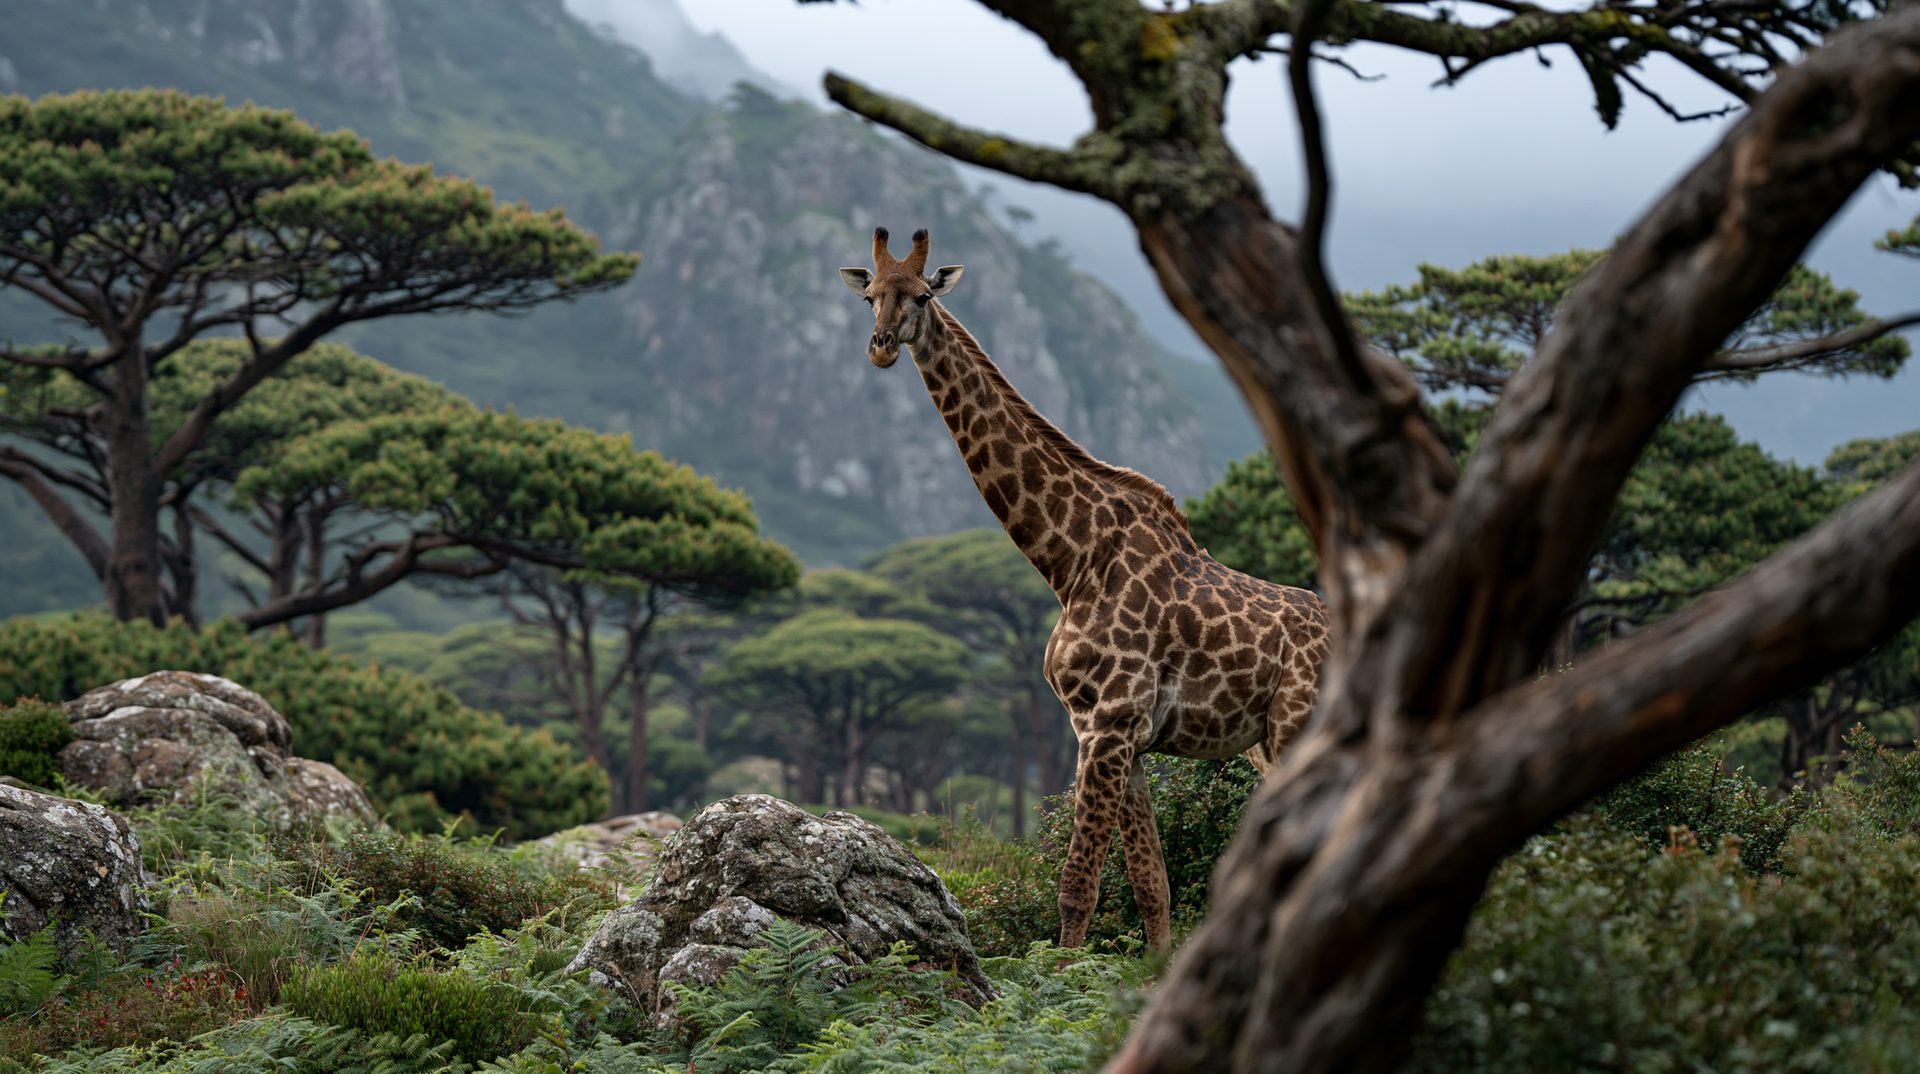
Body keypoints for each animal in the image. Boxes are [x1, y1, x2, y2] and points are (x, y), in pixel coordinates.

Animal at [838, 227, 1330, 952]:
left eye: (923, 295)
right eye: (870, 294)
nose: (880, 347)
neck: (1070, 561)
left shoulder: (1110, 721)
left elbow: (1078, 885)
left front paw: (1063, 975)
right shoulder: (1112, 730)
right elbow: (1152, 881)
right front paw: (1152, 971)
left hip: (1300, 722)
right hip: (1266, 744)